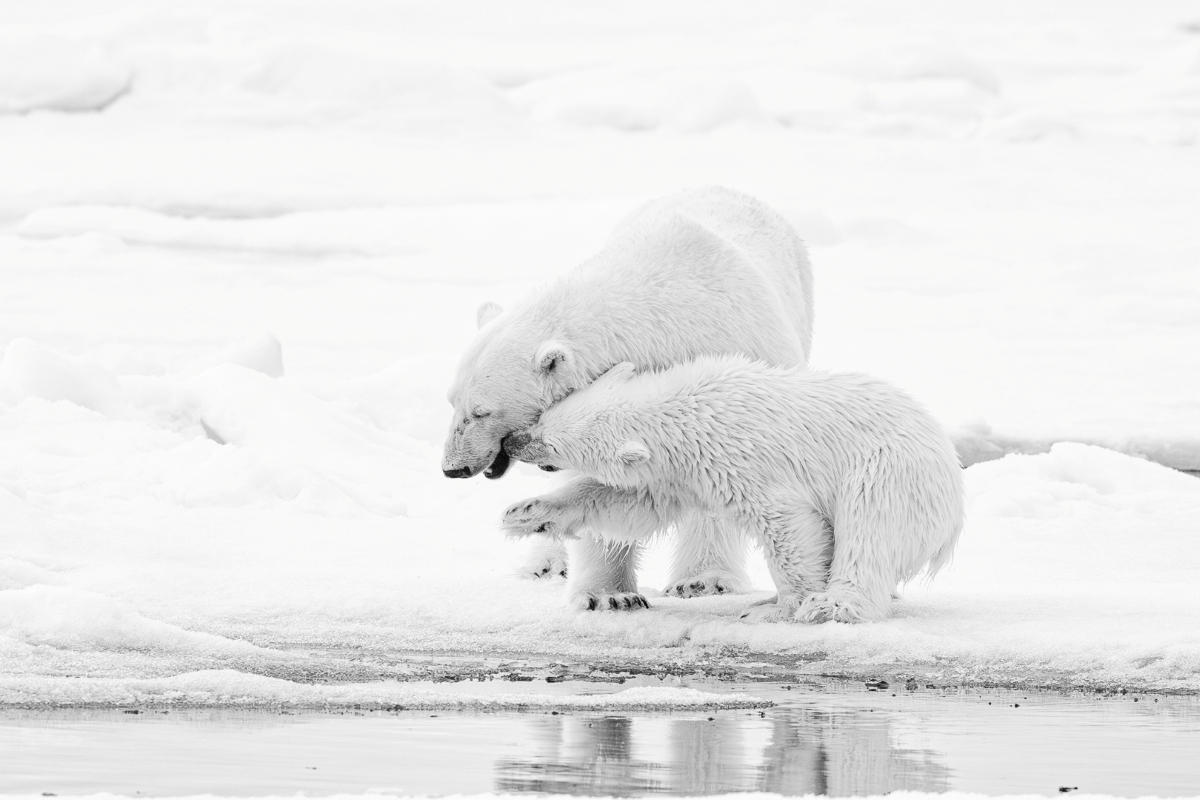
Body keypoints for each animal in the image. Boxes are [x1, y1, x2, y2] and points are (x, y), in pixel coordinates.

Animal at [442, 186, 814, 606]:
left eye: (481, 412)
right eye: (451, 402)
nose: (453, 468)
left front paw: (700, 581)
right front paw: (607, 596)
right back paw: (545, 562)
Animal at [500, 356, 965, 622]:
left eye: (550, 442)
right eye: (543, 418)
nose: (511, 442)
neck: (687, 411)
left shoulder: (745, 460)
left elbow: (787, 526)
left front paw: (788, 606)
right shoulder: (676, 473)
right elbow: (630, 503)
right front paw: (524, 513)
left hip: (892, 472)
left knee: (869, 531)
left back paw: (829, 605)